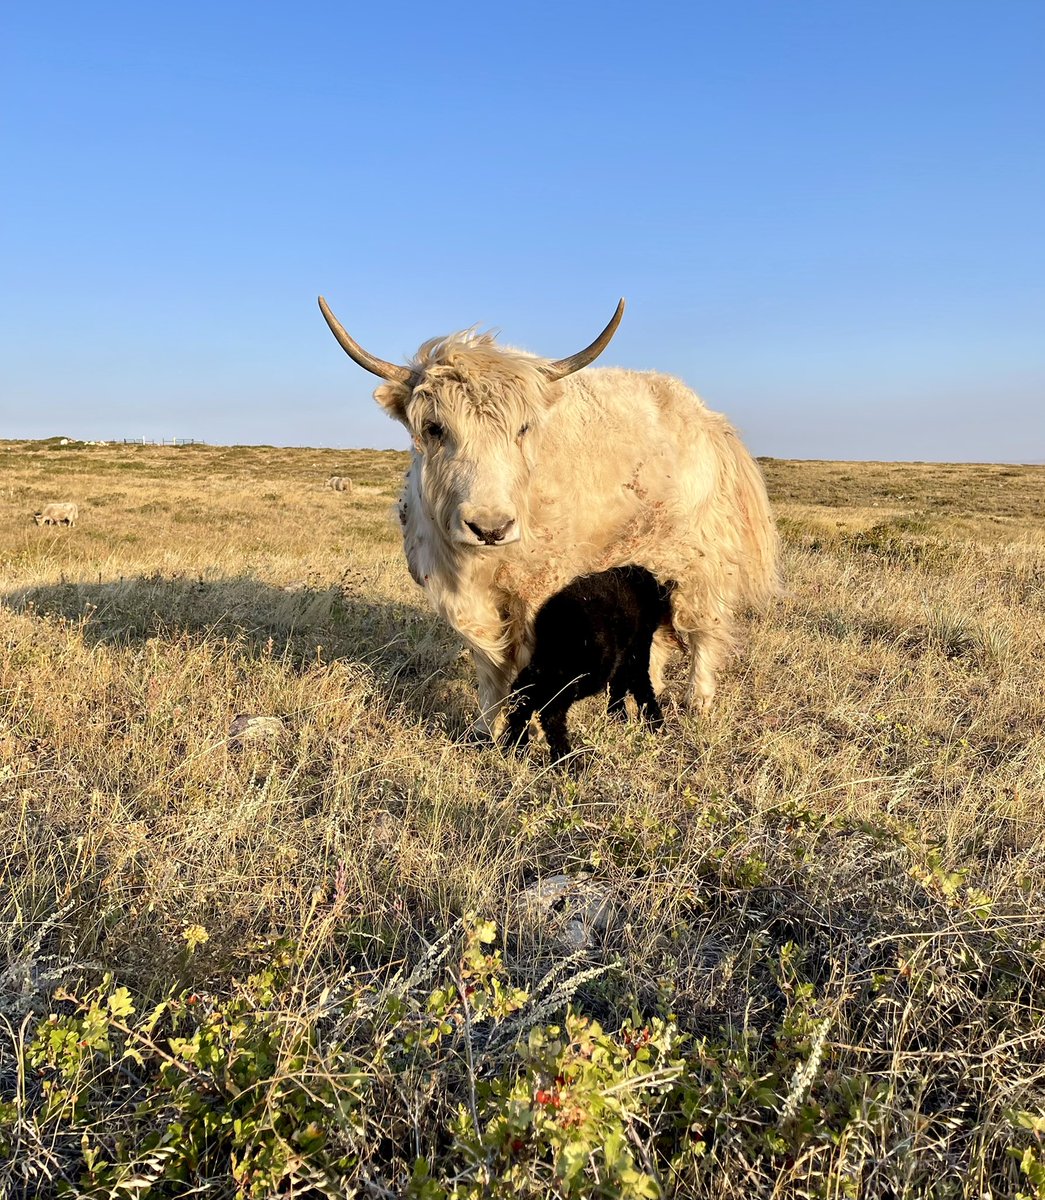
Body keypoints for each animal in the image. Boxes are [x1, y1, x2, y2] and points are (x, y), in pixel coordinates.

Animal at [319, 296, 780, 737]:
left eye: (523, 429)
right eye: (434, 428)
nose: (490, 529)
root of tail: (709, 420)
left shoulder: (539, 589)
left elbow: (533, 663)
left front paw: (532, 731)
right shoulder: (463, 595)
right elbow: (488, 663)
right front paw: (484, 728)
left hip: (699, 559)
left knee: (704, 624)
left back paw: (698, 701)